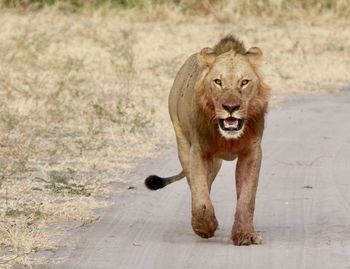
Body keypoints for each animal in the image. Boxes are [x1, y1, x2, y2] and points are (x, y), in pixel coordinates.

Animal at [145, 34, 270, 244]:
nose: (231, 107)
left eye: (244, 82)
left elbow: (247, 197)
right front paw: (204, 226)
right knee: (195, 185)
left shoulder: (252, 152)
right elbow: (200, 193)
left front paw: (245, 235)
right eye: (218, 81)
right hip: (183, 143)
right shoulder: (199, 151)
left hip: (216, 161)